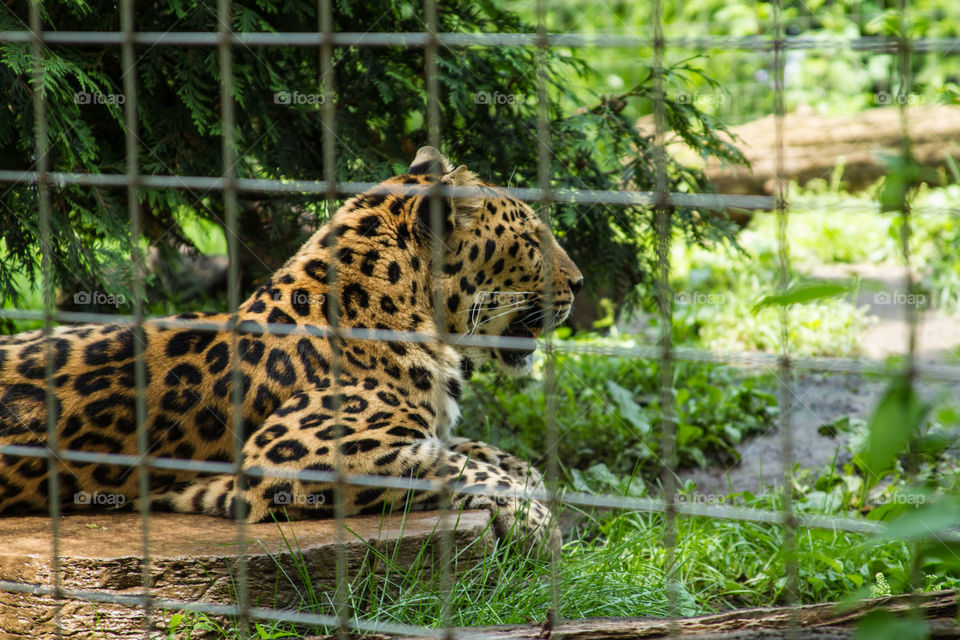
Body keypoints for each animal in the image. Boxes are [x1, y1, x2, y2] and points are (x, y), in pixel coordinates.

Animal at [0, 147, 583, 547]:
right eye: (533, 241)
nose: (578, 283)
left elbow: (484, 452)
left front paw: (535, 484)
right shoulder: (305, 454)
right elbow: (463, 467)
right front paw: (540, 524)